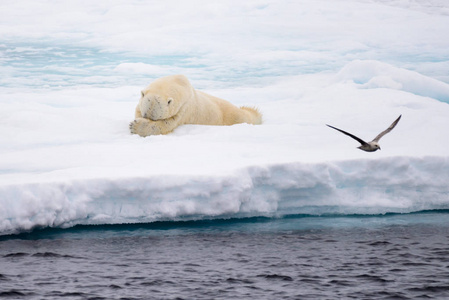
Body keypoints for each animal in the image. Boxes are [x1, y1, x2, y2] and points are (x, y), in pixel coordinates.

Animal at [130, 74, 260, 137]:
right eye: (145, 114)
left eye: (154, 118)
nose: (145, 118)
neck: (177, 82)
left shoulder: (183, 109)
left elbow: (166, 124)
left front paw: (135, 126)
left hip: (231, 116)